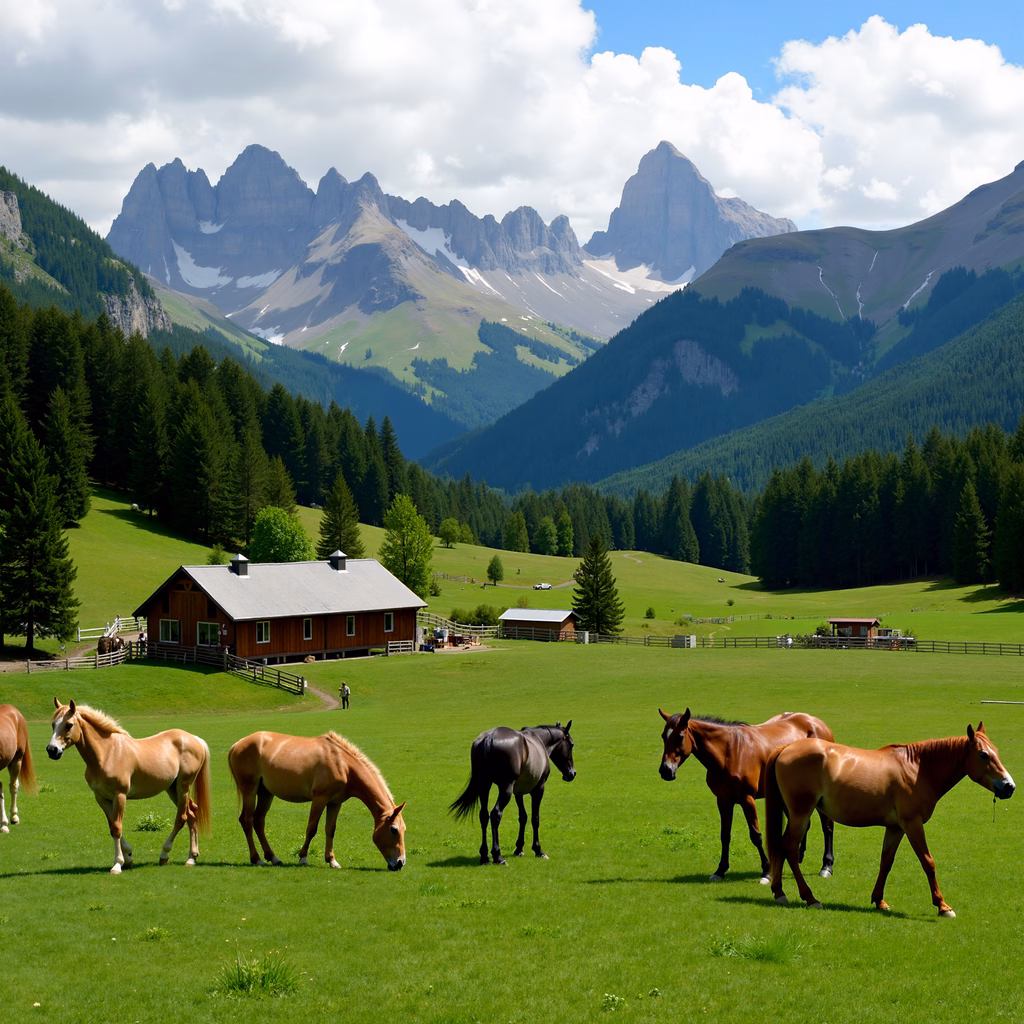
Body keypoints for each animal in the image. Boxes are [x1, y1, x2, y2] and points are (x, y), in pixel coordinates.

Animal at [47, 698, 211, 874]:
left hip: (183, 787)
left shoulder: (120, 796)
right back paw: (191, 858)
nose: (52, 750)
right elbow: (112, 827)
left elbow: (117, 828)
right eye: (53, 724)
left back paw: (165, 854)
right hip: (172, 789)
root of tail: (195, 739)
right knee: (192, 812)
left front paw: (117, 864)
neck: (107, 753)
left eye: (69, 724)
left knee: (182, 818)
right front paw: (128, 856)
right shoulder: (102, 798)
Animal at [227, 731, 407, 870]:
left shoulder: (335, 802)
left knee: (258, 821)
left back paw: (273, 858)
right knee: (247, 820)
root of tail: (236, 745)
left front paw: (332, 861)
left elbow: (330, 829)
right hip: (249, 790)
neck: (342, 764)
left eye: (404, 830)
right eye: (394, 829)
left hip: (266, 793)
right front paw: (303, 858)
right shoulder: (320, 798)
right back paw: (257, 859)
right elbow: (312, 828)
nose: (400, 863)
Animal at [450, 722, 575, 865]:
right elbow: (535, 818)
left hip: (484, 786)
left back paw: (485, 856)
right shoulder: (538, 789)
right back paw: (498, 856)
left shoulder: (518, 792)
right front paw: (538, 850)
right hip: (506, 789)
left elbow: (523, 817)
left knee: (484, 816)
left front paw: (519, 848)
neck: (539, 740)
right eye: (572, 744)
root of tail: (489, 738)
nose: (572, 773)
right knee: (495, 814)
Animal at [659, 708, 835, 883]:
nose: (666, 771)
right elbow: (725, 835)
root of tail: (819, 724)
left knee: (827, 826)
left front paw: (766, 871)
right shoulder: (723, 800)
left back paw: (826, 866)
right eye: (663, 736)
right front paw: (720, 870)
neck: (730, 753)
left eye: (680, 737)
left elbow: (756, 836)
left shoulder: (747, 799)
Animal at [765, 723, 1015, 916]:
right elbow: (928, 862)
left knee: (781, 847)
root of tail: (786, 748)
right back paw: (810, 897)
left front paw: (879, 900)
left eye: (996, 750)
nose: (1009, 786)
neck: (917, 768)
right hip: (801, 813)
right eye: (984, 754)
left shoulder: (895, 828)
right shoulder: (912, 824)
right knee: (789, 848)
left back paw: (779, 892)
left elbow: (886, 862)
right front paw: (943, 906)